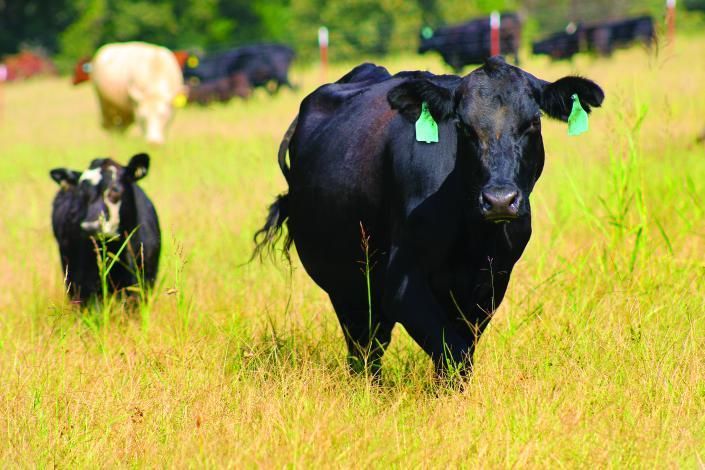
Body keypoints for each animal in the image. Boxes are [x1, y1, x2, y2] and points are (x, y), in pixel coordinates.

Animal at [254, 59, 604, 377]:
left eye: (532, 122)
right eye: (463, 126)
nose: (499, 200)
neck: (473, 237)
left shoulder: (491, 284)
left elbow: (460, 352)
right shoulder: (402, 283)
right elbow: (452, 352)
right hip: (345, 282)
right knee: (364, 349)